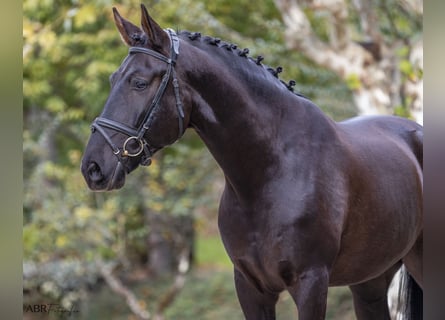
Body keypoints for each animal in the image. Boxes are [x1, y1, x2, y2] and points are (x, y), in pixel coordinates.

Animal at [80, 5, 424, 320]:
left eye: (139, 82)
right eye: (112, 79)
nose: (92, 168)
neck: (270, 173)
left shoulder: (311, 284)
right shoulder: (250, 287)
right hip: (370, 281)